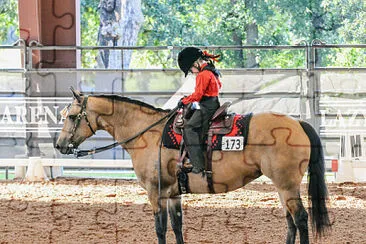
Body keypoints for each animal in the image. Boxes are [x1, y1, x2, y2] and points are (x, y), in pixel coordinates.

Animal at [55, 88, 332, 244]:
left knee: (301, 219)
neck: (149, 133)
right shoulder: (173, 194)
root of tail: (298, 124)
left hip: (287, 186)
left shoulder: (155, 193)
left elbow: (160, 229)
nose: (59, 145)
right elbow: (177, 227)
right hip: (282, 187)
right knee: (291, 221)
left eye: (72, 116)